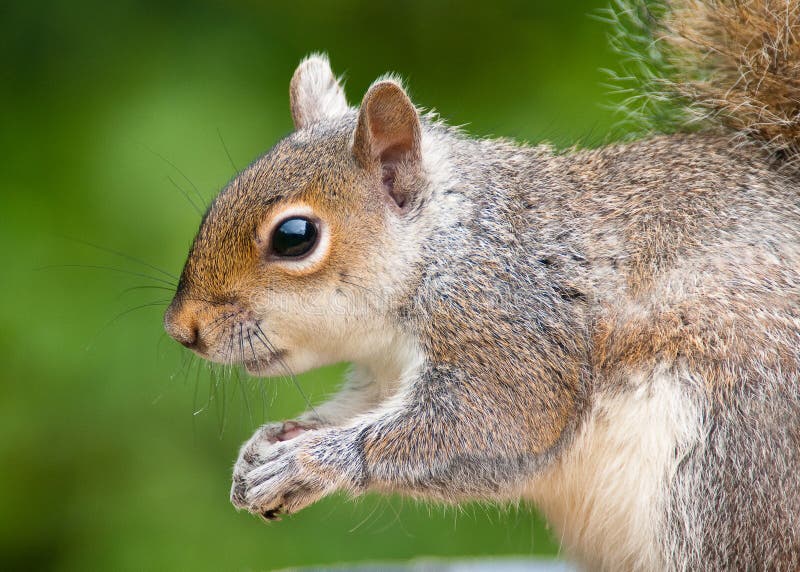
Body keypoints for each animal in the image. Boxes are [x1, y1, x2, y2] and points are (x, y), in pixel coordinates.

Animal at [162, 2, 800, 568]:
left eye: (295, 237)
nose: (180, 328)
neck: (442, 247)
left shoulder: (508, 324)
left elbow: (497, 422)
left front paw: (312, 462)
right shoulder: (382, 373)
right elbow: (354, 409)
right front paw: (266, 446)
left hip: (730, 464)